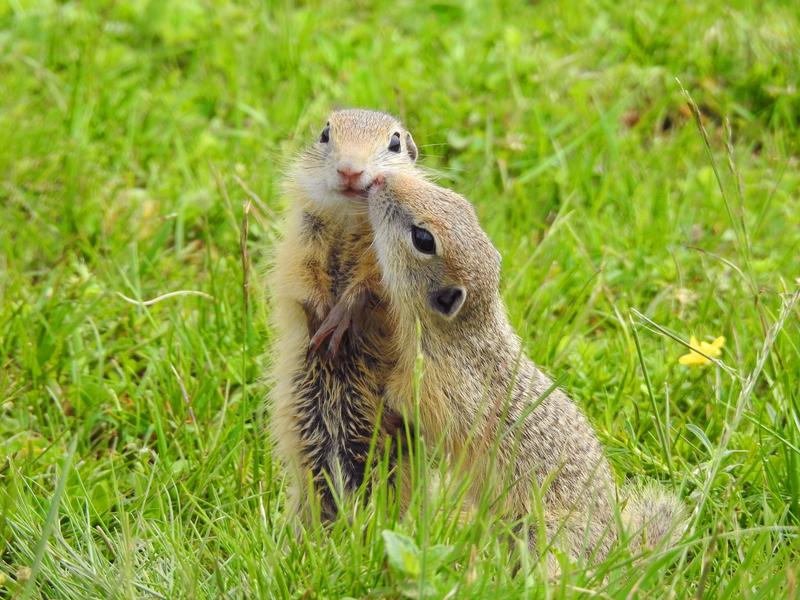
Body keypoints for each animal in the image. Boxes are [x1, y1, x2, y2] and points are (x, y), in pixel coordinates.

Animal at [268, 110, 418, 524]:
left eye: (395, 143)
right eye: (325, 134)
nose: (350, 170)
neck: (351, 218)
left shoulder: (384, 264)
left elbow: (370, 287)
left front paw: (341, 319)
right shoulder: (302, 234)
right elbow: (301, 276)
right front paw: (319, 323)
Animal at [360, 172, 684, 564]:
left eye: (423, 239)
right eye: (459, 200)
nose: (380, 178)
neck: (462, 334)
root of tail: (618, 547)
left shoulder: (447, 387)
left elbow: (422, 407)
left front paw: (388, 393)